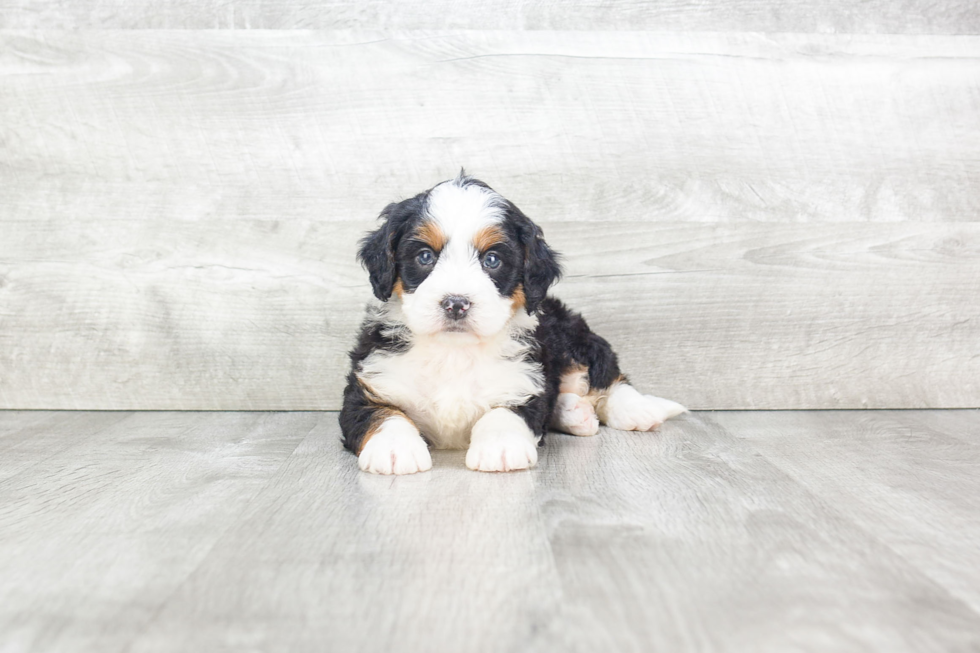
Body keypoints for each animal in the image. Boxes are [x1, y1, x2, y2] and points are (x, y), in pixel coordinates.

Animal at [340, 171, 684, 472]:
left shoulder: (523, 381)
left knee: (608, 376)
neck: (453, 352)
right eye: (425, 256)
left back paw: (636, 409)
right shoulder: (370, 384)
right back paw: (576, 414)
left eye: (492, 260)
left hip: (571, 336)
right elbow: (383, 413)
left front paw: (500, 447)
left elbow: (506, 412)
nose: (456, 304)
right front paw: (395, 449)